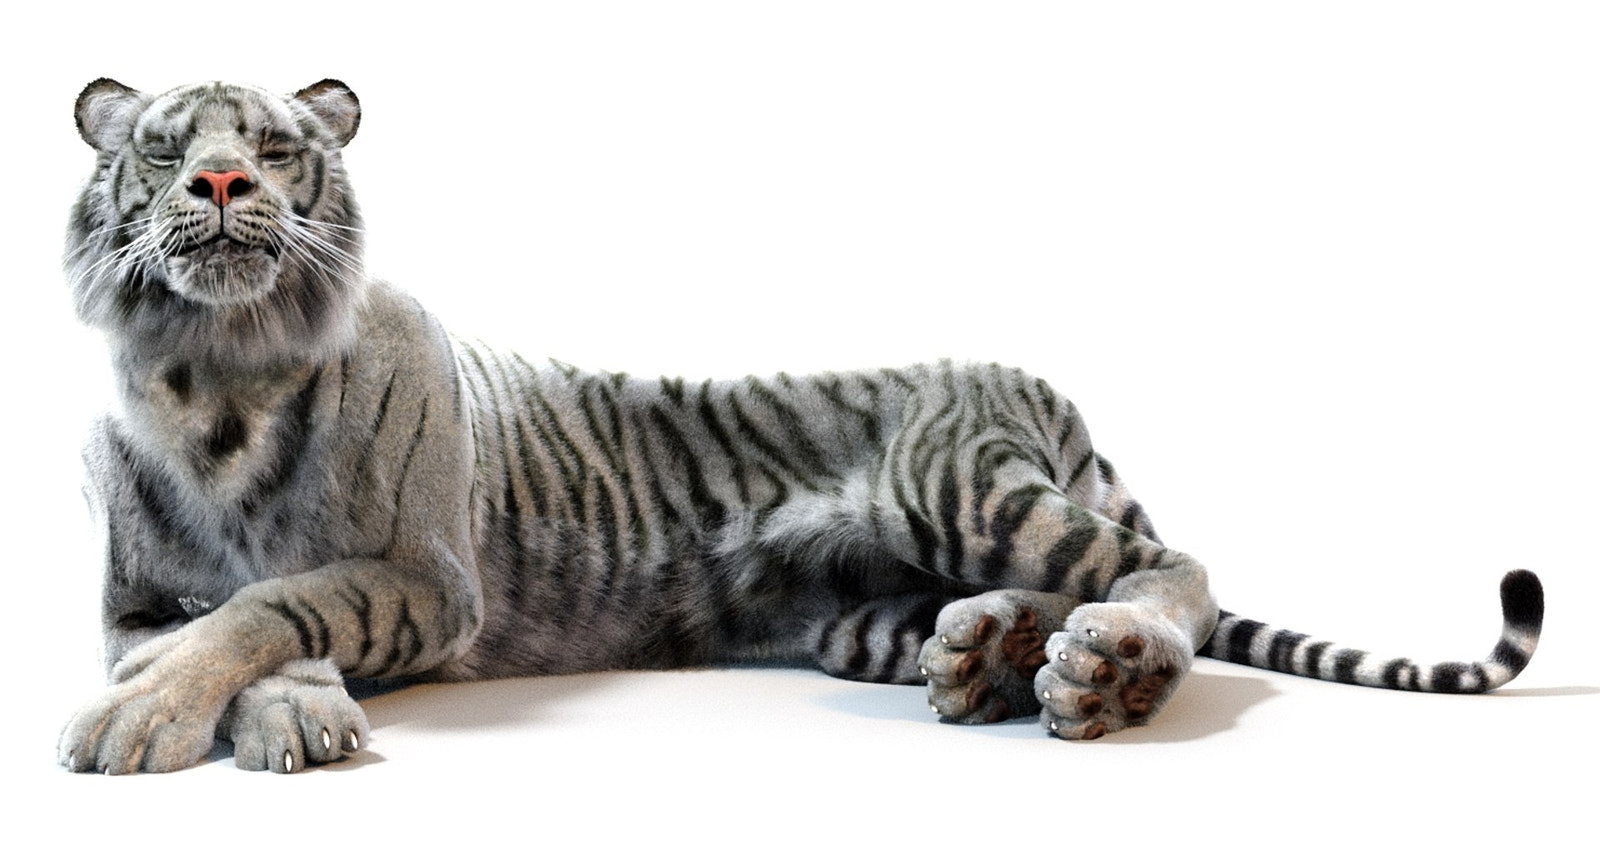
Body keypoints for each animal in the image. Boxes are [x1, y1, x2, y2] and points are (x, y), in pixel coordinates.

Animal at [59, 78, 1545, 774]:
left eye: (276, 143)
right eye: (161, 145)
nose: (223, 182)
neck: (220, 386)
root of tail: (1041, 385)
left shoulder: (427, 575)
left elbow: (281, 601)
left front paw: (156, 715)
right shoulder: (134, 595)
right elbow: (227, 623)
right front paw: (244, 712)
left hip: (968, 484)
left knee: (1167, 565)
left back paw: (1111, 666)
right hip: (852, 611)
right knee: (1022, 600)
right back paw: (992, 655)